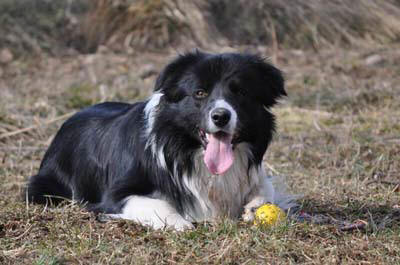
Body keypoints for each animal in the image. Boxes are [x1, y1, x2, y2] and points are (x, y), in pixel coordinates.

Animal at [26, 51, 292, 229]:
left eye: (241, 92)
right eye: (199, 93)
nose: (220, 116)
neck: (187, 150)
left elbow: (264, 187)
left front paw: (254, 206)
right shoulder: (114, 195)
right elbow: (159, 205)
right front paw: (181, 223)